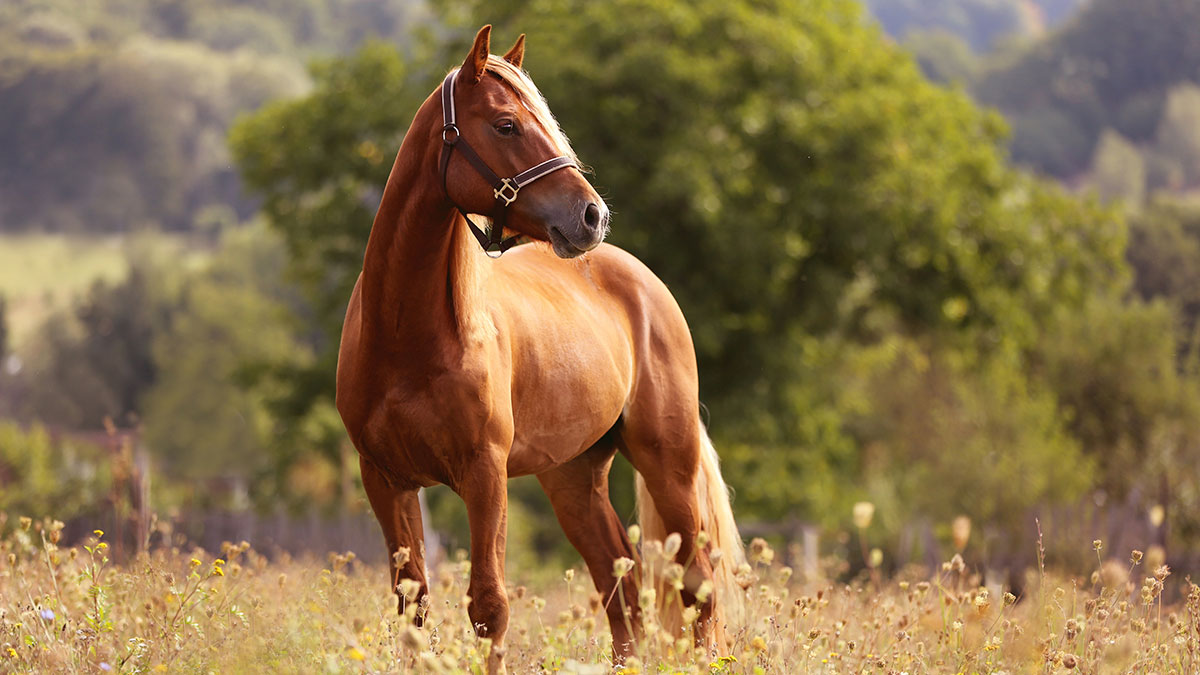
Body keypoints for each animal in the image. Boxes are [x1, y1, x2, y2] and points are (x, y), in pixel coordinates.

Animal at [331, 24, 739, 667]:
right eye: (506, 125)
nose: (592, 216)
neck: (406, 338)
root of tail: (644, 283)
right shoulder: (386, 480)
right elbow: (413, 609)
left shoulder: (484, 474)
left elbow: (489, 606)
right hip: (573, 479)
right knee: (621, 587)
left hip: (667, 462)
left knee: (696, 584)